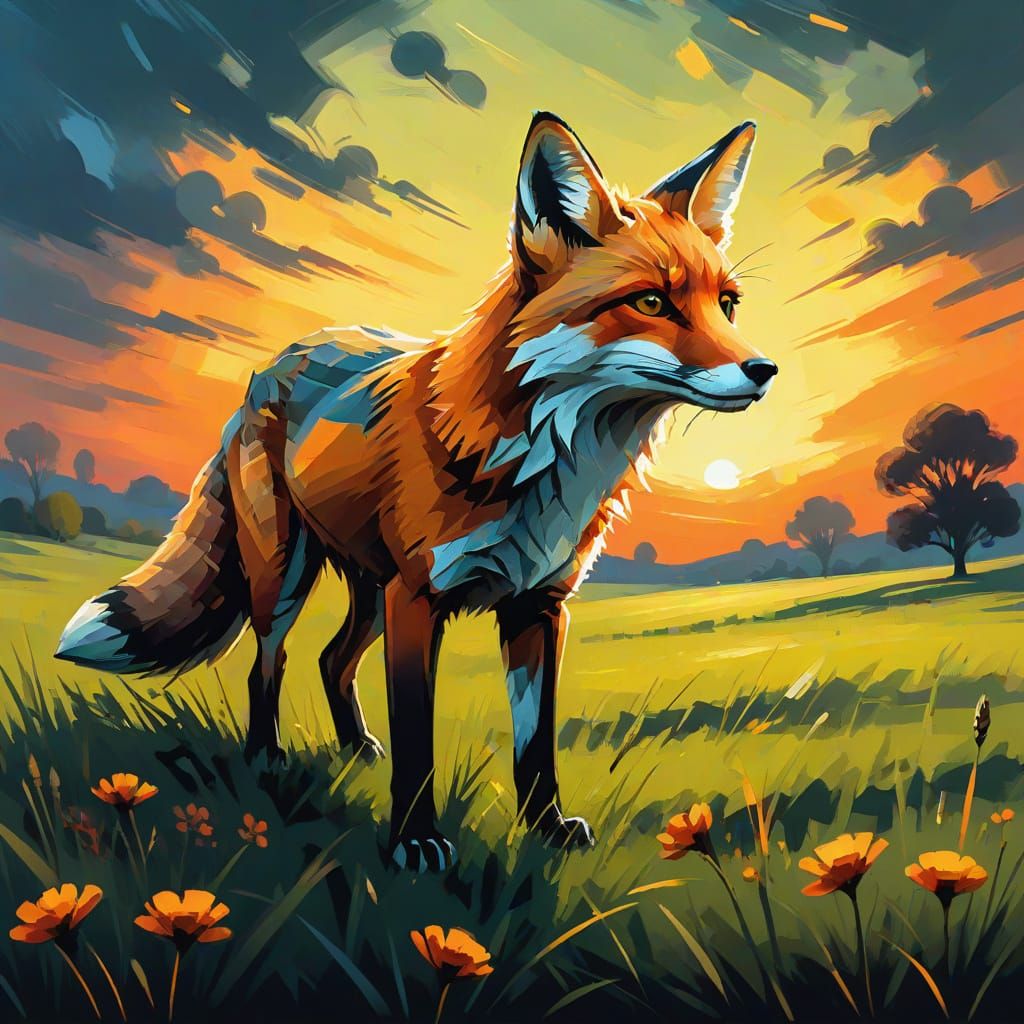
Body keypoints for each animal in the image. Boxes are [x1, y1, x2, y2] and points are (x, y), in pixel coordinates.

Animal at [56, 112, 777, 872]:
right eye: (651, 302)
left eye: (727, 305)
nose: (765, 370)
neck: (536, 462)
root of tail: (278, 358)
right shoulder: (420, 599)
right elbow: (417, 740)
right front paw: (415, 840)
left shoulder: (539, 606)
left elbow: (535, 744)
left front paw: (546, 829)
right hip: (286, 578)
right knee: (266, 665)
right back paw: (266, 759)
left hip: (371, 592)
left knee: (331, 660)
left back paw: (352, 750)